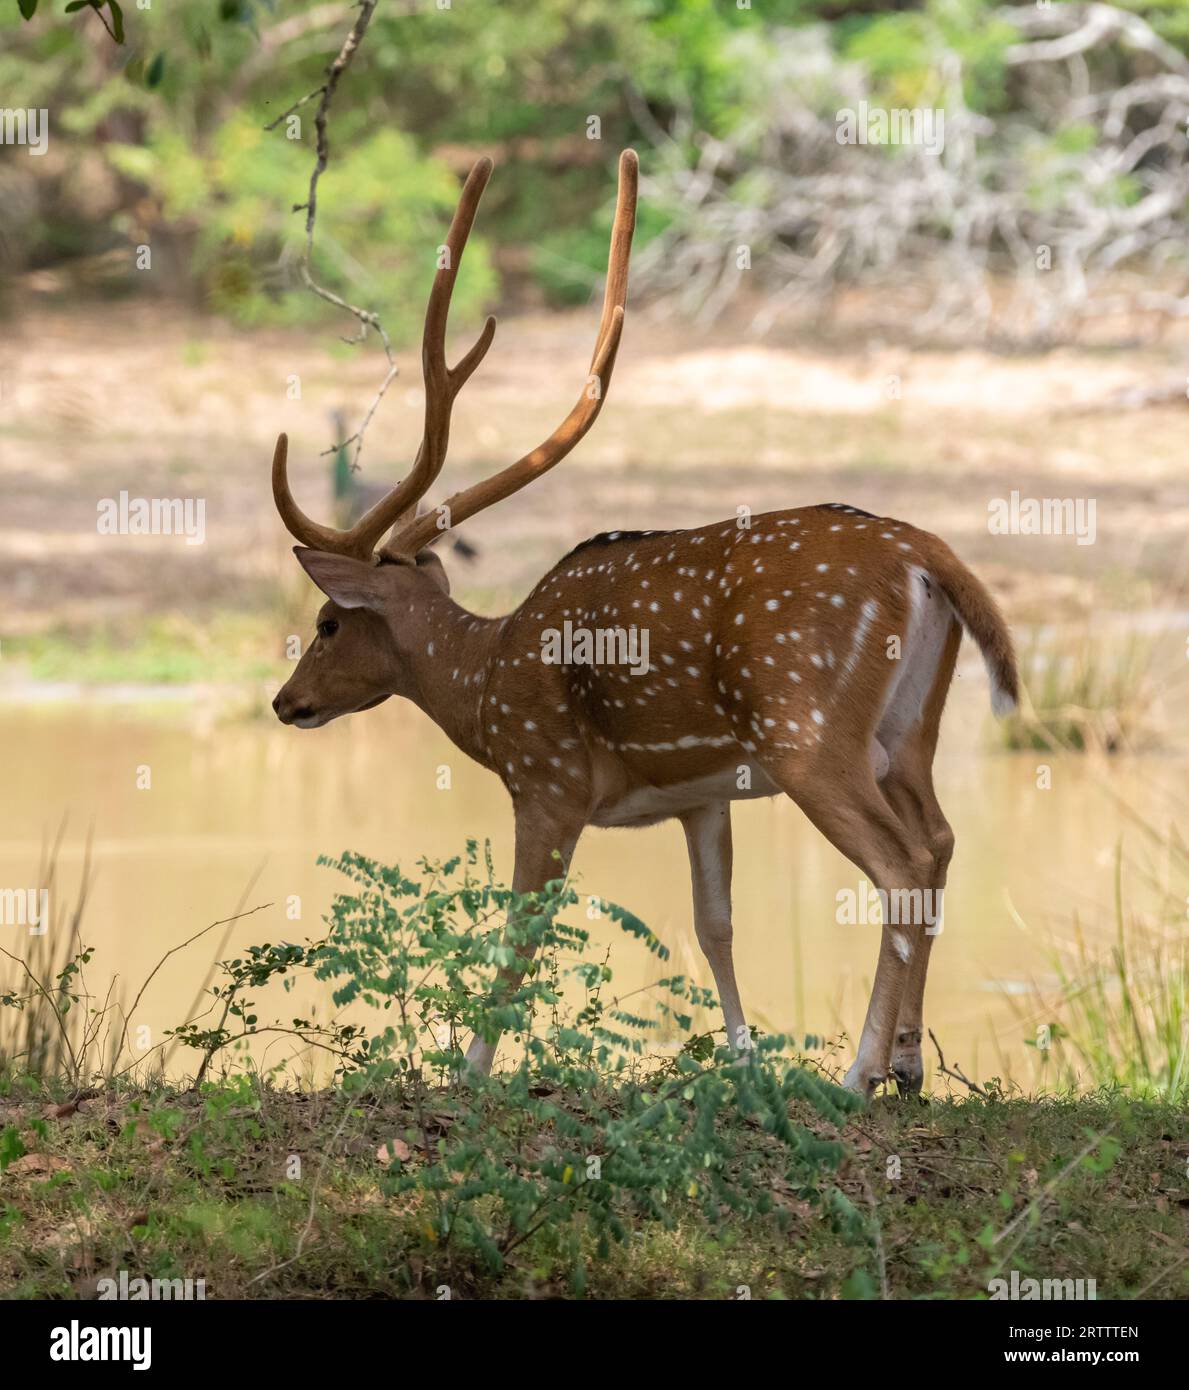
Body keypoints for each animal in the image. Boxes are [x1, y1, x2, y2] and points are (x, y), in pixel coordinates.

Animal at [273, 149, 1017, 1084]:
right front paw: (741, 1059)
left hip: (806, 728)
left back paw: (859, 1074)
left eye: (329, 622)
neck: (482, 685)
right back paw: (911, 1067)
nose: (285, 701)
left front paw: (470, 1067)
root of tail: (924, 553)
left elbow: (522, 929)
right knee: (942, 842)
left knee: (901, 862)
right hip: (911, 728)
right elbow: (714, 924)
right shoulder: (702, 795)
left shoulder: (546, 777)